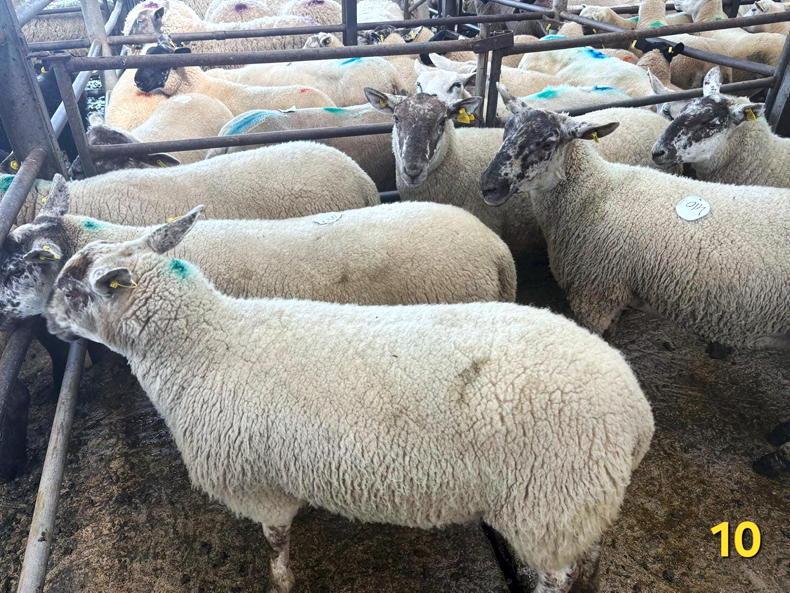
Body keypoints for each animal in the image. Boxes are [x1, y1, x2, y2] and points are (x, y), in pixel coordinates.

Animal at [45, 206, 654, 593]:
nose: (47, 321)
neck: (203, 343)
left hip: (547, 507)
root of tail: (635, 412)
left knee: (556, 576)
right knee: (590, 556)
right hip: (579, 507)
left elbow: (276, 542)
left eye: (72, 288)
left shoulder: (258, 484)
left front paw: (282, 582)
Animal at [479, 104, 790, 351]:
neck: (594, 192)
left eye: (547, 143)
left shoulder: (595, 293)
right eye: (506, 131)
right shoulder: (615, 294)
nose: (488, 186)